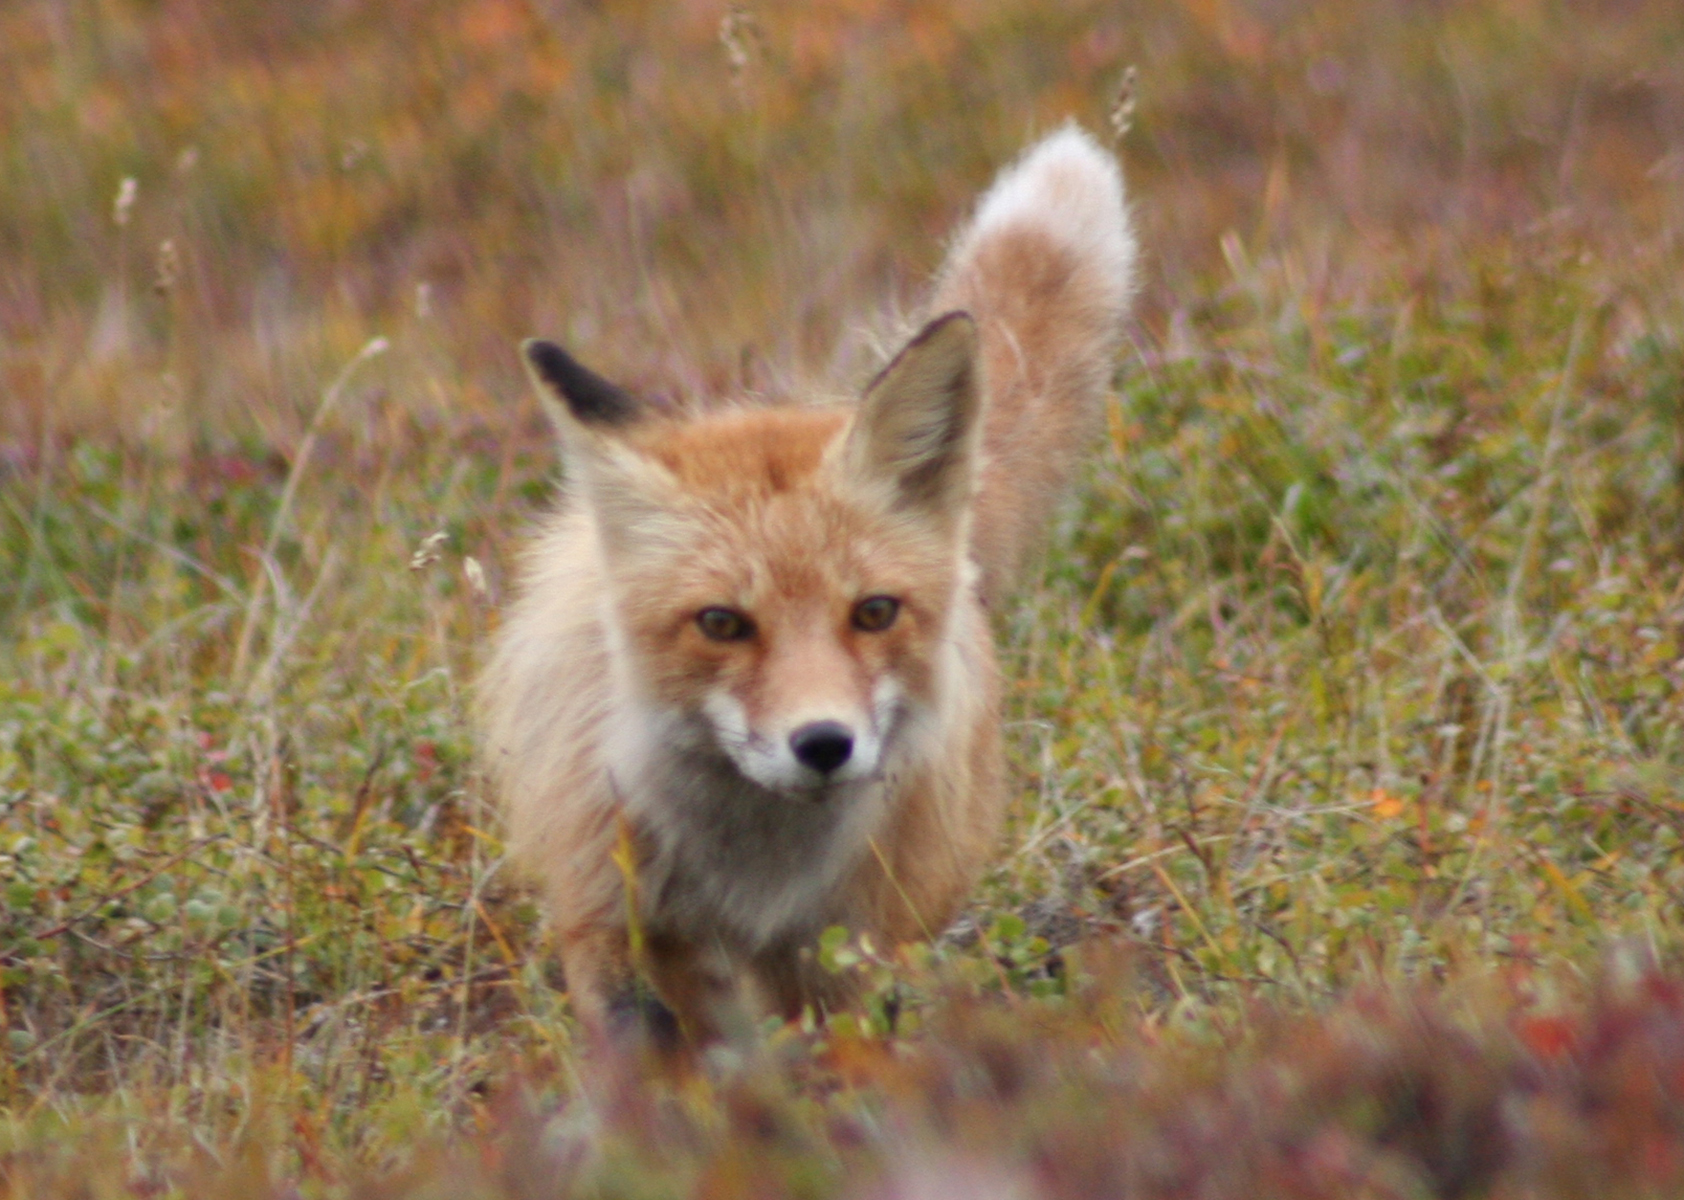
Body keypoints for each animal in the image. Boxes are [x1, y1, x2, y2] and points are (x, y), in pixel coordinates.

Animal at [488, 122, 1145, 1036]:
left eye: (874, 612)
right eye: (721, 622)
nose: (825, 744)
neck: (754, 872)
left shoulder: (841, 954)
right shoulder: (609, 920)